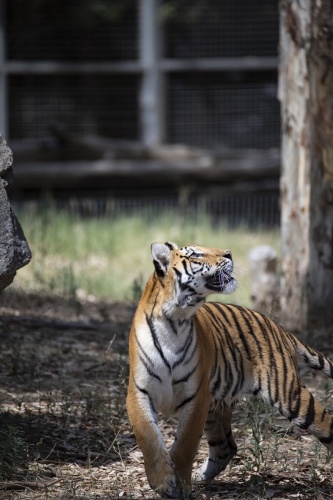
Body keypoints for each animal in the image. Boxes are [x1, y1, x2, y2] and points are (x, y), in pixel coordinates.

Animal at [125, 241, 332, 496]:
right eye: (196, 254)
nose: (229, 253)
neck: (175, 319)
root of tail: (278, 327)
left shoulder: (197, 396)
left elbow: (185, 445)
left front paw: (180, 484)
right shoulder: (139, 392)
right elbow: (149, 439)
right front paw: (163, 482)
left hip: (288, 395)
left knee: (327, 425)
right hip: (217, 406)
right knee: (226, 447)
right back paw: (200, 477)